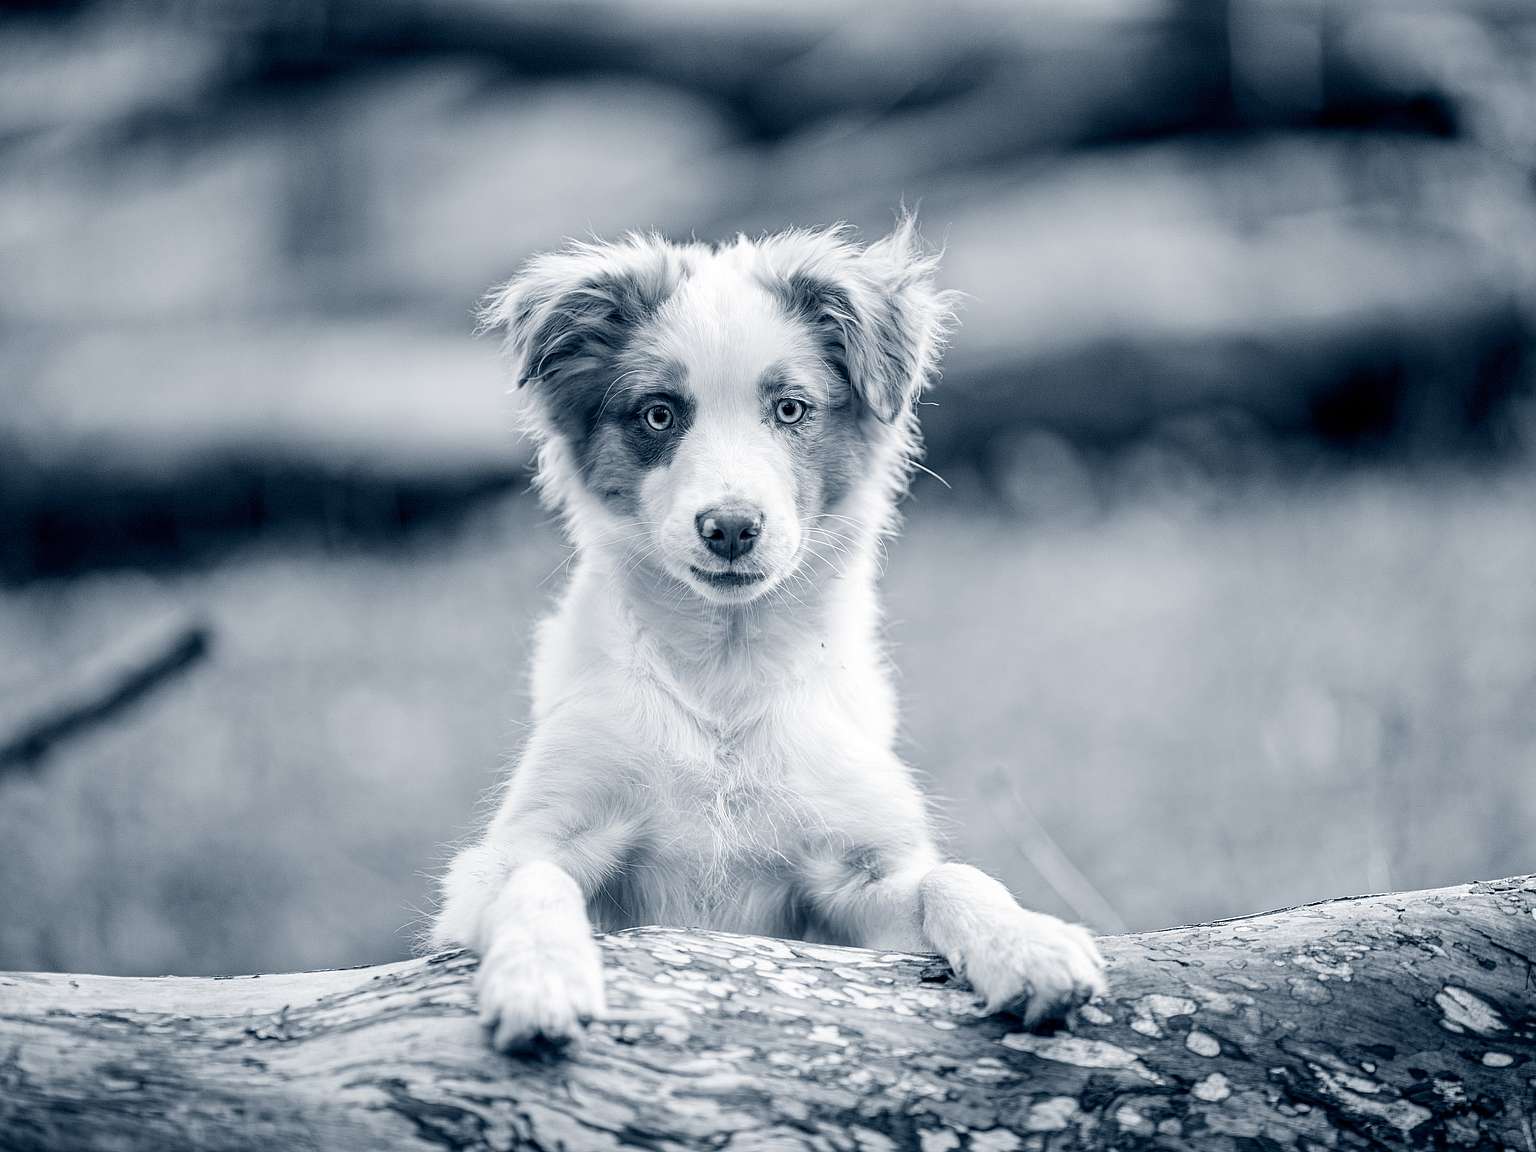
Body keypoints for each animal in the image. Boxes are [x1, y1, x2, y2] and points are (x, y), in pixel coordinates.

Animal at [427, 211, 1112, 1050]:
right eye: (659, 413)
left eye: (791, 409)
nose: (729, 528)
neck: (725, 676)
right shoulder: (514, 852)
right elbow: (537, 878)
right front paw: (539, 976)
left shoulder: (854, 881)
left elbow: (952, 876)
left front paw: (1027, 944)